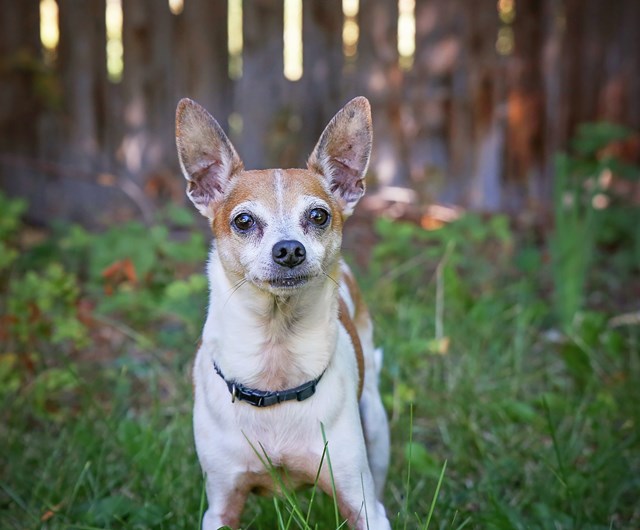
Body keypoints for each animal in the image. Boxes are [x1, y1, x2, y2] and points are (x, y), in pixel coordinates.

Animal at [175, 96, 392, 528]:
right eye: (243, 220)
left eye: (319, 215)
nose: (290, 249)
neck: (276, 365)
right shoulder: (221, 504)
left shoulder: (363, 506)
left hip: (376, 426)